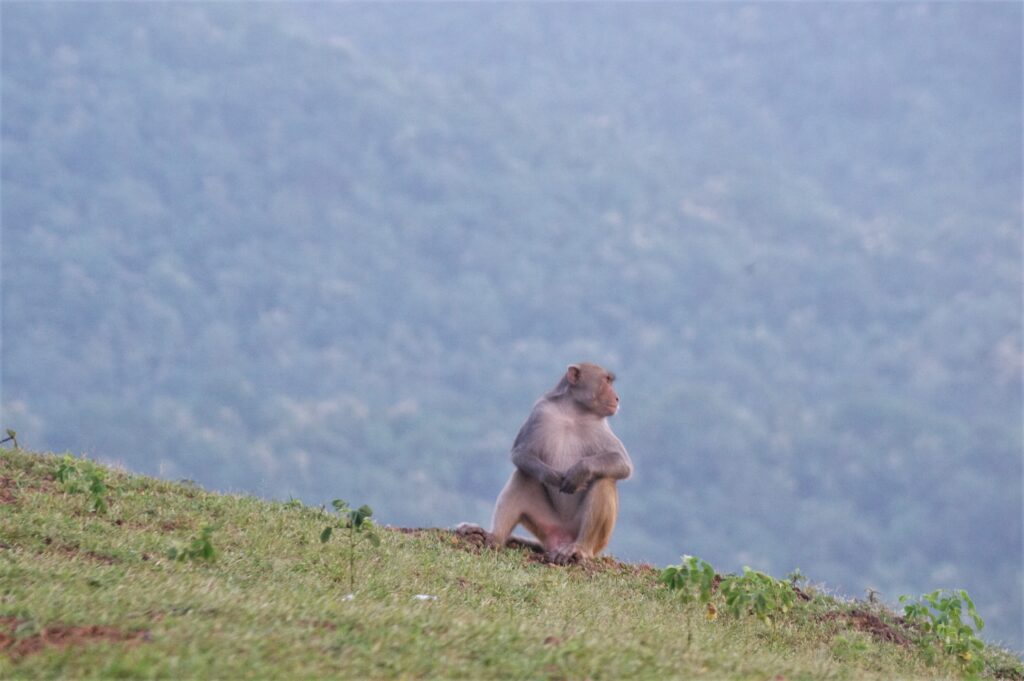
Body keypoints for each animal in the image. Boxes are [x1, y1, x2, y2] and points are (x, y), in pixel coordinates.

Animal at [458, 360, 630, 561]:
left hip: (595, 540)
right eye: (606, 381)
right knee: (524, 475)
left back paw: (579, 548)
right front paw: (553, 476)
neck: (572, 412)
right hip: (546, 525)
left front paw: (580, 471)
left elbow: (622, 463)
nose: (617, 398)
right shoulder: (540, 411)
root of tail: (559, 540)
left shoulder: (600, 425)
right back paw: (495, 537)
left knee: (604, 479)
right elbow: (521, 453)